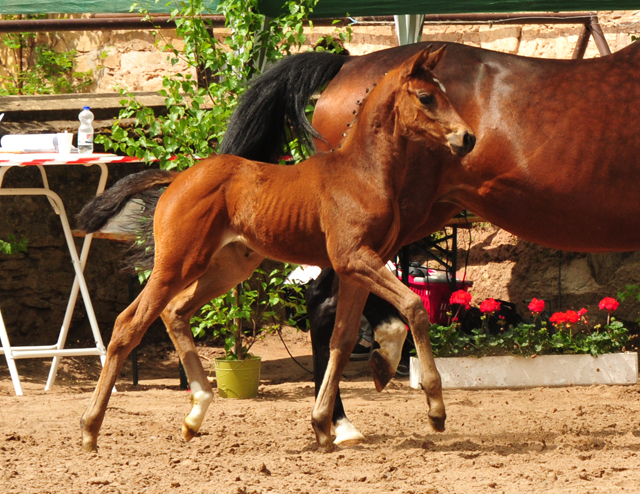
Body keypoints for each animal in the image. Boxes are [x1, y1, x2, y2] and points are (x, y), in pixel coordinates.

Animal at [76, 48, 476, 454]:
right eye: (426, 97)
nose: (468, 138)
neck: (361, 173)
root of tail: (178, 178)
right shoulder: (354, 259)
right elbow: (413, 307)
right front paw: (436, 408)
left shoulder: (356, 268)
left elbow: (343, 338)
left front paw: (323, 424)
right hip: (177, 263)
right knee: (129, 324)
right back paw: (91, 428)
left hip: (227, 266)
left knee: (175, 312)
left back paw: (195, 413)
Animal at [218, 40, 640, 446]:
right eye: (425, 98)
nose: (468, 138)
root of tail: (348, 64)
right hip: (390, 227)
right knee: (331, 303)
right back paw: (346, 414)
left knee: (339, 306)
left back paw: (353, 400)